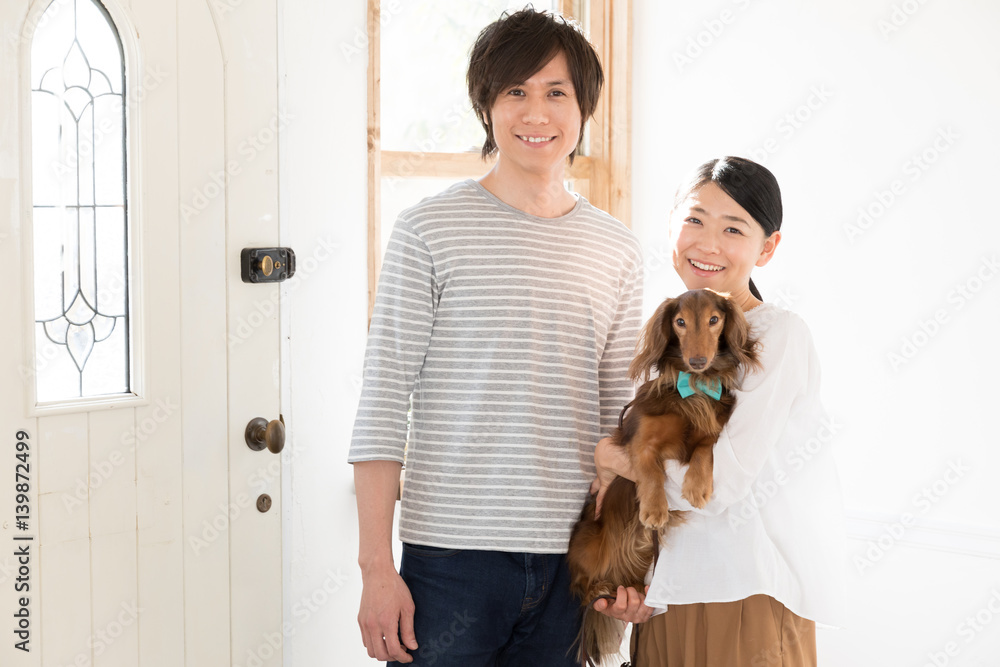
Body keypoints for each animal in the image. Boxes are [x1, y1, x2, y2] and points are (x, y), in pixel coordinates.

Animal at [568, 290, 760, 664]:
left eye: (714, 320)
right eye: (680, 321)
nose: (698, 360)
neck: (694, 386)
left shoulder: (711, 433)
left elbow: (703, 451)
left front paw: (697, 487)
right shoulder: (641, 442)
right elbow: (650, 471)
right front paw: (654, 510)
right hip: (587, 543)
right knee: (580, 587)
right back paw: (599, 587)